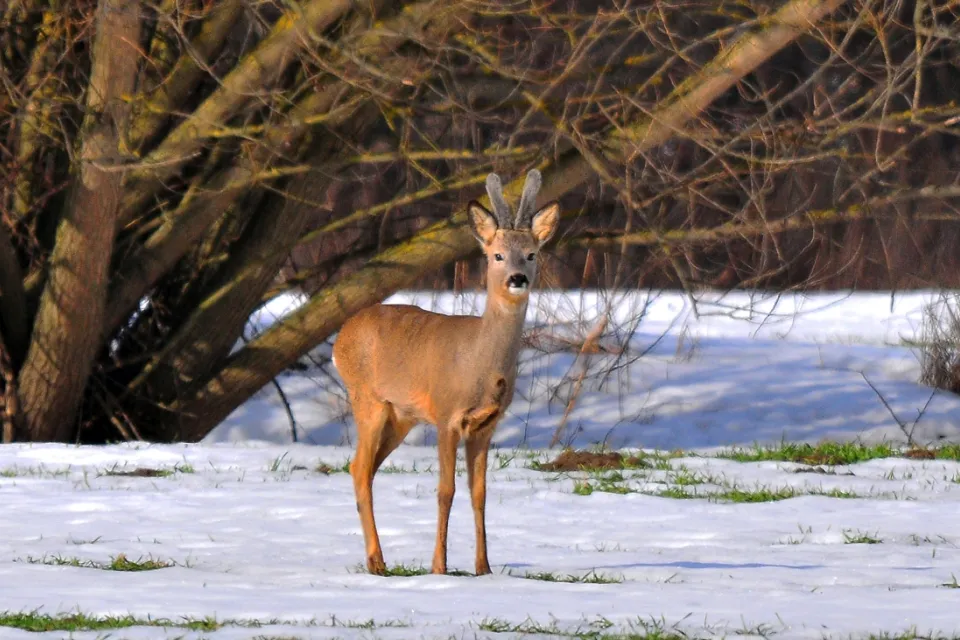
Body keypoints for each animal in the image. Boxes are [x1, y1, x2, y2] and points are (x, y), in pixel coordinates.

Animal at [332, 170, 559, 576]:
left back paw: (377, 557)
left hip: (401, 416)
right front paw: (439, 566)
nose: (517, 278)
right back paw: (377, 562)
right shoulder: (445, 414)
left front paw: (484, 567)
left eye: (531, 254)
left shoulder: (486, 425)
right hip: (367, 399)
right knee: (358, 467)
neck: (480, 365)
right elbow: (445, 490)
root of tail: (340, 337)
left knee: (365, 467)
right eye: (497, 255)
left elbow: (479, 492)